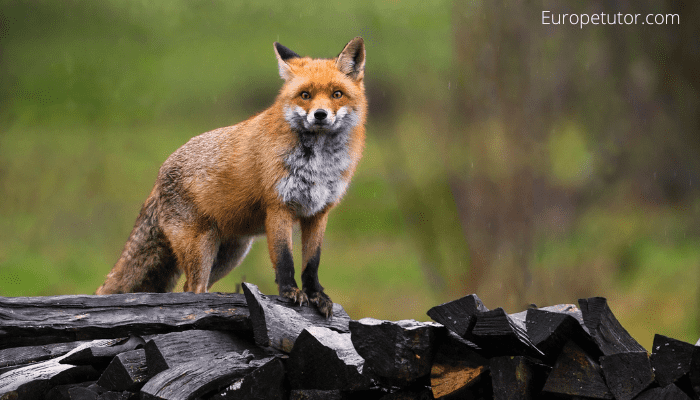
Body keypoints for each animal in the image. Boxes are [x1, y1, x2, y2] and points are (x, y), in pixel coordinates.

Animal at [96, 37, 367, 318]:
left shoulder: (318, 213)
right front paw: (290, 292)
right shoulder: (279, 207)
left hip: (230, 255)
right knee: (192, 289)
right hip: (201, 249)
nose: (320, 114)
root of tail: (160, 172)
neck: (319, 165)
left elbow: (312, 263)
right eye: (305, 95)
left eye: (337, 94)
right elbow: (285, 260)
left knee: (190, 287)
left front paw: (317, 296)